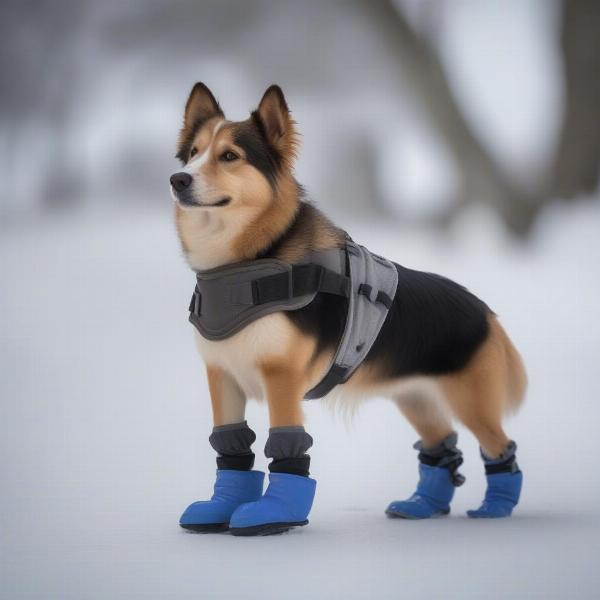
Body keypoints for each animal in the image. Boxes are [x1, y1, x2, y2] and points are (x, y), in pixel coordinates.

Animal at [169, 83, 524, 536]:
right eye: (193, 153)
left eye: (230, 156)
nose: (178, 179)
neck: (250, 261)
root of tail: (485, 313)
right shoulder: (222, 376)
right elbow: (230, 443)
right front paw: (220, 507)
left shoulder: (281, 377)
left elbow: (286, 440)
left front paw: (274, 514)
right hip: (416, 398)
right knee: (441, 447)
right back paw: (421, 505)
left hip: (472, 402)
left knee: (500, 447)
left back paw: (497, 507)